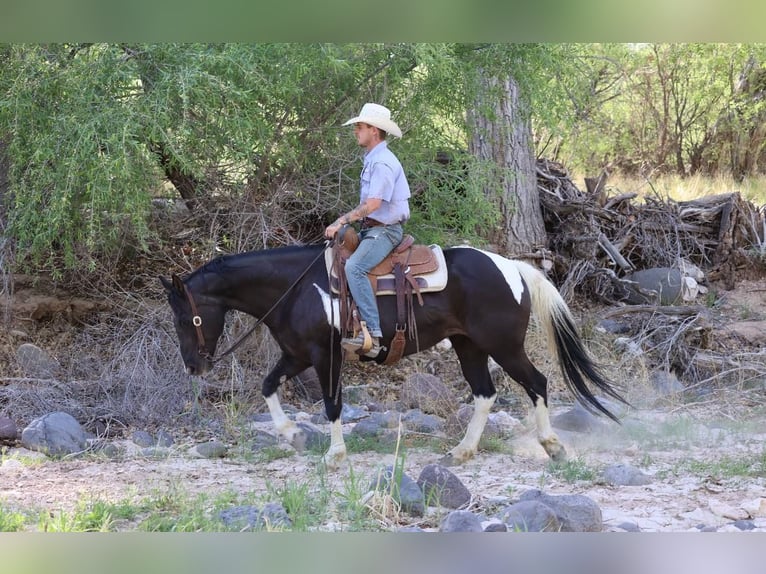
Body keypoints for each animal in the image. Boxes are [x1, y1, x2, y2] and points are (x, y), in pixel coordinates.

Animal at [161, 242, 628, 469]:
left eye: (185, 318)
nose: (194, 366)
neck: (297, 289)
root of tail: (512, 266)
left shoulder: (324, 355)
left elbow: (332, 405)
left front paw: (333, 455)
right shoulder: (296, 355)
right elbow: (268, 386)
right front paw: (291, 434)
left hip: (504, 346)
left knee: (537, 383)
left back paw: (553, 447)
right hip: (470, 347)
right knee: (484, 394)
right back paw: (461, 453)